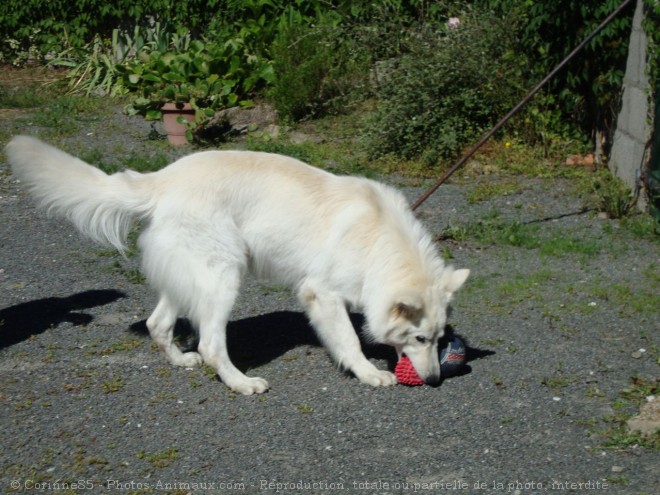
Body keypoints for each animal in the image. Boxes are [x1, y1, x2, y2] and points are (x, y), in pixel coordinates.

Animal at [6, 136, 470, 396]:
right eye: (420, 338)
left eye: (439, 338)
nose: (434, 381)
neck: (380, 242)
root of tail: (161, 179)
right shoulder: (322, 295)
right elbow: (350, 342)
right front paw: (370, 374)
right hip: (224, 276)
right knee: (211, 345)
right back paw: (241, 383)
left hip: (191, 278)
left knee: (159, 324)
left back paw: (181, 361)